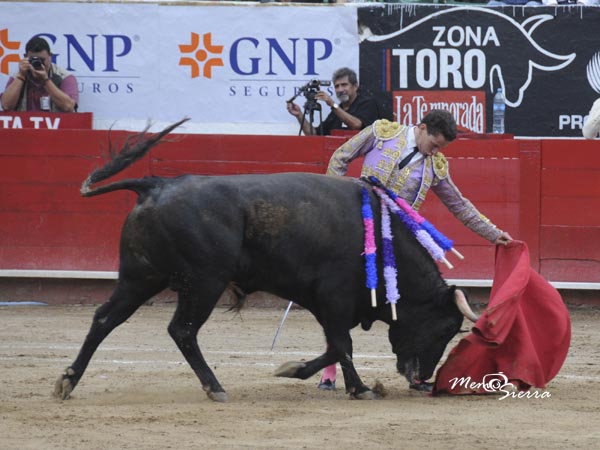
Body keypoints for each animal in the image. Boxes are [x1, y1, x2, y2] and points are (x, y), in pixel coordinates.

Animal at [52, 118, 474, 400]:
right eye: (443, 330)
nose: (422, 379)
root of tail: (156, 185)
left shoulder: (331, 303)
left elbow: (337, 346)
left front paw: (326, 378)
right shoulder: (333, 297)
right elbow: (341, 344)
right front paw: (341, 383)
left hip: (141, 276)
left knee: (105, 319)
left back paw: (68, 381)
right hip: (203, 281)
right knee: (182, 330)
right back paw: (215, 386)